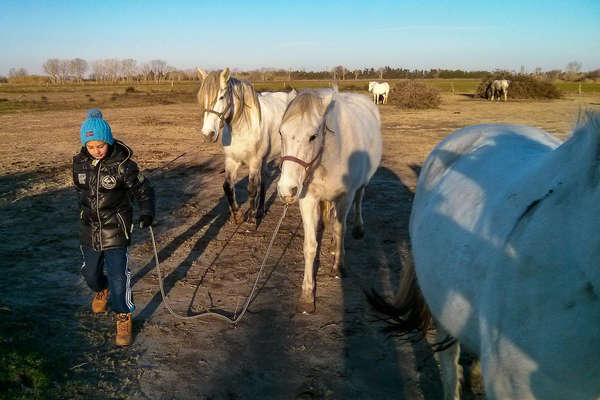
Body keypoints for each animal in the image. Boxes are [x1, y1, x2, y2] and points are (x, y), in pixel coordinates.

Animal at [197, 68, 292, 225]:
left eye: (221, 97)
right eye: (201, 98)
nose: (207, 135)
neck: (242, 128)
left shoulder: (254, 162)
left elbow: (252, 188)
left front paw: (252, 218)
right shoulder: (231, 161)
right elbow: (228, 187)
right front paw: (237, 216)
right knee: (264, 180)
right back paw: (261, 210)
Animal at [278, 89, 382, 314]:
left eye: (313, 136)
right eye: (281, 133)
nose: (286, 190)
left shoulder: (346, 197)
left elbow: (340, 229)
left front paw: (338, 266)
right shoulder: (308, 199)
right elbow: (310, 245)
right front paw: (307, 295)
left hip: (362, 184)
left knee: (359, 199)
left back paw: (357, 229)